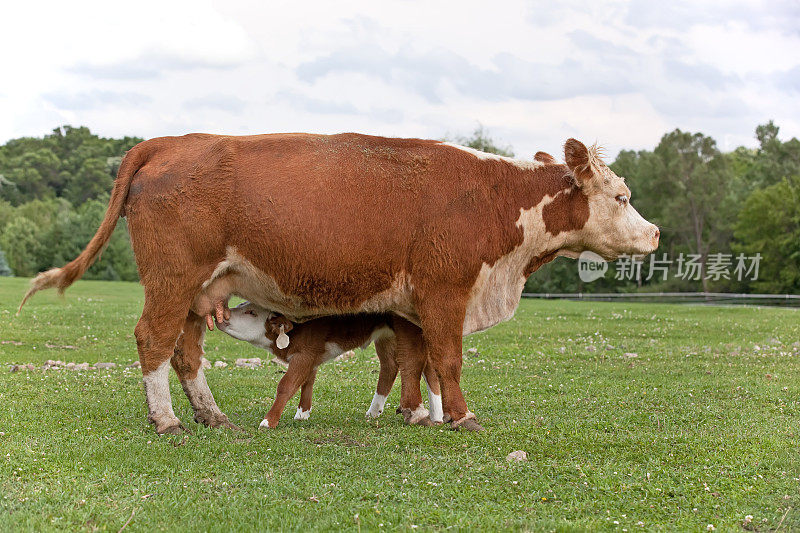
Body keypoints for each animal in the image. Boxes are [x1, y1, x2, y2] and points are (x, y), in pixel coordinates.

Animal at [18, 132, 660, 432]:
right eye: (622, 196)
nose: (654, 234)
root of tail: (173, 142)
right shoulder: (446, 292)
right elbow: (449, 360)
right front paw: (461, 417)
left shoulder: (415, 307)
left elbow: (423, 363)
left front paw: (421, 415)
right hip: (173, 279)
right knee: (153, 340)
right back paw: (168, 420)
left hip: (204, 291)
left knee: (186, 351)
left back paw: (213, 417)